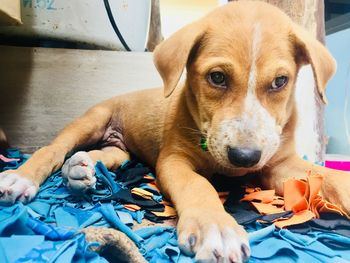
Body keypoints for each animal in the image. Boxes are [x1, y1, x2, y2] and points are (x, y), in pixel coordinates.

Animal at [0, 1, 350, 262]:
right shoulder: (173, 161)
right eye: (217, 77)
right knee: (53, 150)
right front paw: (216, 228)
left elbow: (326, 175)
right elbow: (198, 185)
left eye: (280, 82)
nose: (245, 157)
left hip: (120, 149)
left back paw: (80, 169)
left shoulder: (280, 163)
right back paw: (21, 178)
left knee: (104, 155)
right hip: (92, 119)